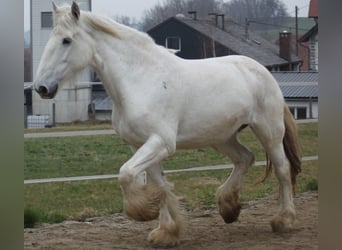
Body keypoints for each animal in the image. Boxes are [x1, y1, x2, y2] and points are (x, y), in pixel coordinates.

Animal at [34, 2, 302, 248]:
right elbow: (159, 185)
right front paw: (167, 231)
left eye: (66, 40)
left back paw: (284, 220)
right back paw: (229, 208)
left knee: (282, 169)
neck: (141, 80)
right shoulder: (139, 145)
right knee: (245, 158)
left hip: (269, 131)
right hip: (222, 137)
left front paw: (146, 213)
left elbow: (126, 174)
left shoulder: (160, 142)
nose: (41, 87)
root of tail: (261, 70)